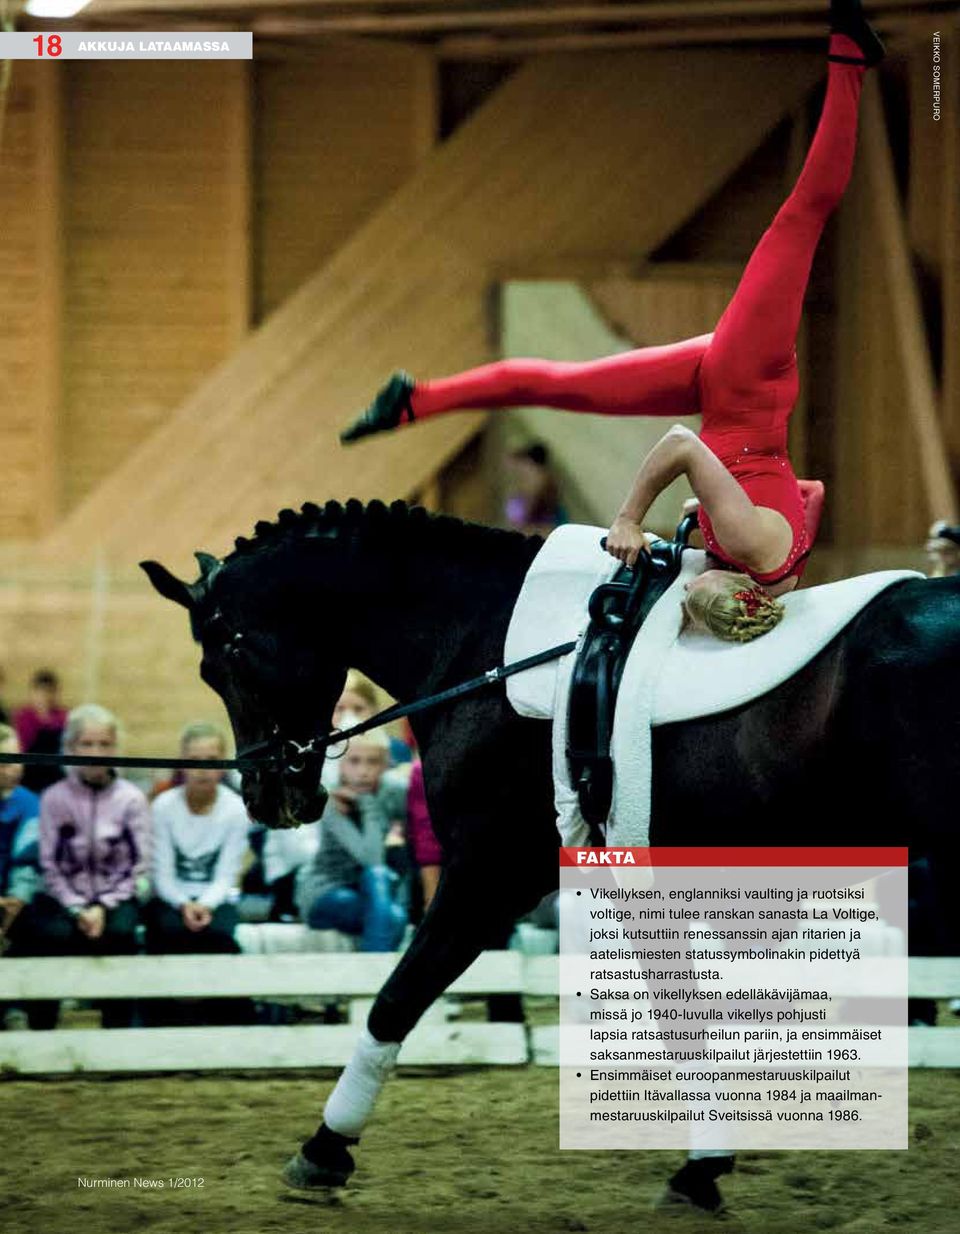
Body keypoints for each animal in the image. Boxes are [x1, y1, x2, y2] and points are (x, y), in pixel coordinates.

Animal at [141, 496, 957, 1209]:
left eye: (227, 658)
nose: (268, 798)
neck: (483, 647)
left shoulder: (487, 872)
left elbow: (396, 998)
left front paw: (324, 1148)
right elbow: (683, 1022)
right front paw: (703, 1165)